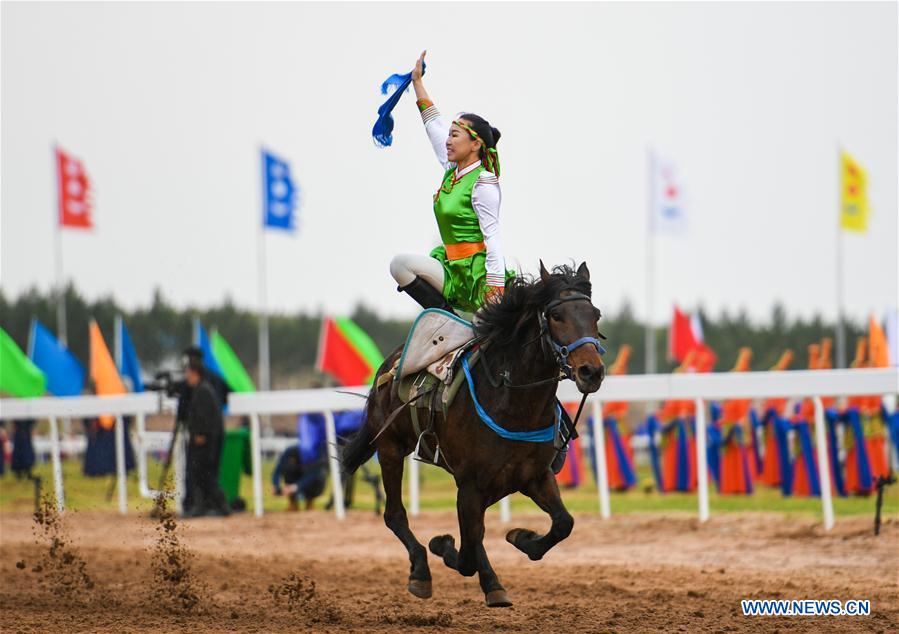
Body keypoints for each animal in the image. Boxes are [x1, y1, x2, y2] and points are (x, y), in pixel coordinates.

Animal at [342, 260, 604, 604]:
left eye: (595, 315)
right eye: (556, 315)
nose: (592, 371)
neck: (514, 404)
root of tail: (390, 365)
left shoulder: (534, 475)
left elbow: (563, 523)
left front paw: (522, 537)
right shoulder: (470, 483)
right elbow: (467, 551)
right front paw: (447, 548)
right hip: (390, 448)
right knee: (394, 514)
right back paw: (421, 571)